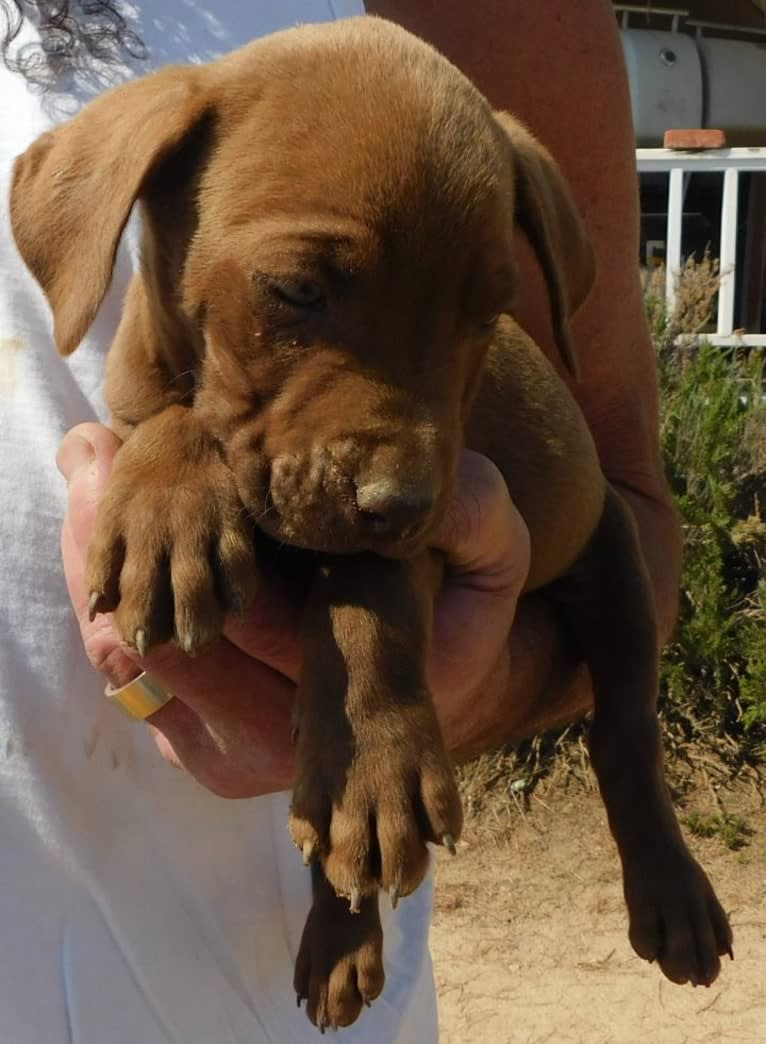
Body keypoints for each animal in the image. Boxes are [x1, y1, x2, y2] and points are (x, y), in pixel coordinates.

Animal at [10, 14, 730, 1027]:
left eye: (490, 310)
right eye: (296, 290)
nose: (404, 504)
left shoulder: (435, 514)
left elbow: (365, 598)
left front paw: (370, 756)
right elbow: (173, 422)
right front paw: (170, 503)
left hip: (615, 561)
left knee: (623, 732)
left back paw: (669, 896)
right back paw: (342, 934)